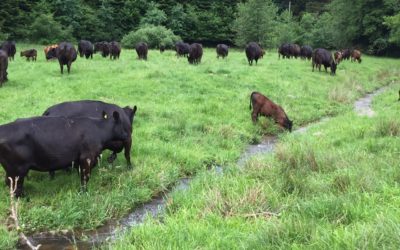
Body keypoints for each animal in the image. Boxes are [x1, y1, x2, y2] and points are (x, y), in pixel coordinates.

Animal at [0, 112, 128, 197]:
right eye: (123, 126)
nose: (127, 136)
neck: (99, 128)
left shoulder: (78, 160)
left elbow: (81, 174)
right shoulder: (87, 157)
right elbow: (85, 177)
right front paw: (84, 193)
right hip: (17, 169)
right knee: (14, 185)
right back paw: (23, 198)